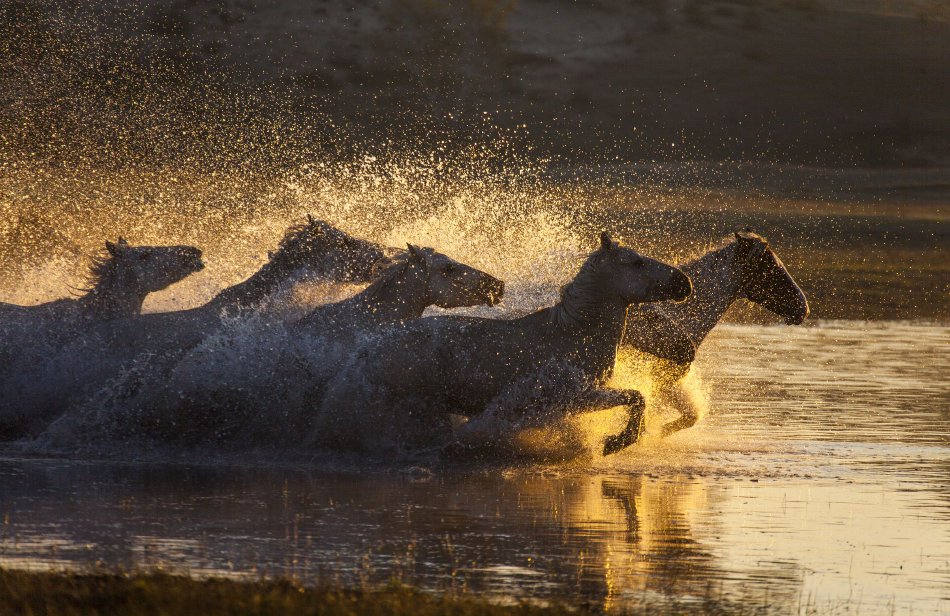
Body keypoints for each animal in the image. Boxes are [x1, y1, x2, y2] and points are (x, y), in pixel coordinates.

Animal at [312, 233, 692, 460]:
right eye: (637, 261)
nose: (683, 283)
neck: (574, 334)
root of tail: (370, 347)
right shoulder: (576, 397)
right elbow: (636, 398)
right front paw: (616, 442)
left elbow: (636, 398)